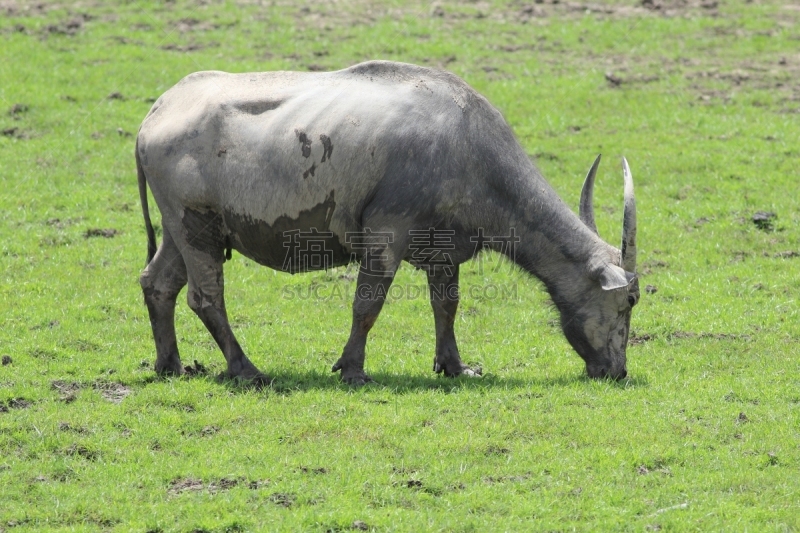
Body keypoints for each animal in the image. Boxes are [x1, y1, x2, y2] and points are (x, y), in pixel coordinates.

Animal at [136, 59, 636, 382]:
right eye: (629, 302)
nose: (617, 371)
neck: (467, 145)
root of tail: (158, 111)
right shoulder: (385, 236)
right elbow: (367, 305)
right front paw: (352, 370)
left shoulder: (444, 250)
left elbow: (446, 305)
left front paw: (455, 367)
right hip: (196, 227)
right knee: (205, 297)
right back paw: (245, 369)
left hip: (182, 230)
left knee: (158, 283)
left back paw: (170, 365)